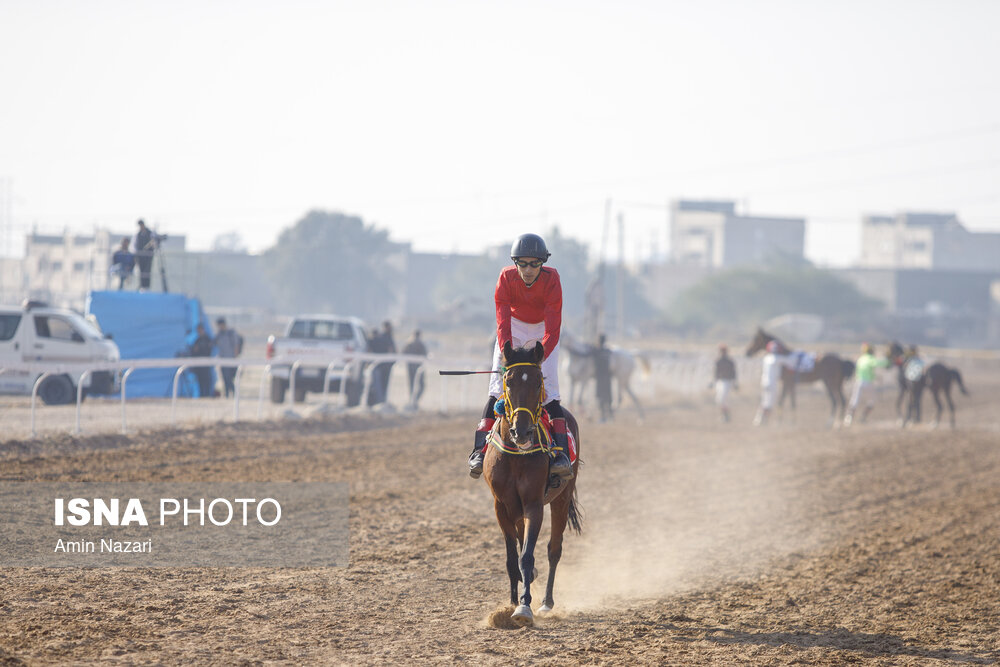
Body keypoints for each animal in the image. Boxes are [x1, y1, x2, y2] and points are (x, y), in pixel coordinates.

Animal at [482, 342, 584, 628]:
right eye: (508, 380)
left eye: (539, 381)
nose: (522, 432)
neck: (515, 455)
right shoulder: (501, 506)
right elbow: (511, 559)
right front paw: (510, 604)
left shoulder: (534, 504)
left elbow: (527, 556)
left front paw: (524, 607)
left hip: (561, 497)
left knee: (554, 548)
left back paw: (547, 602)